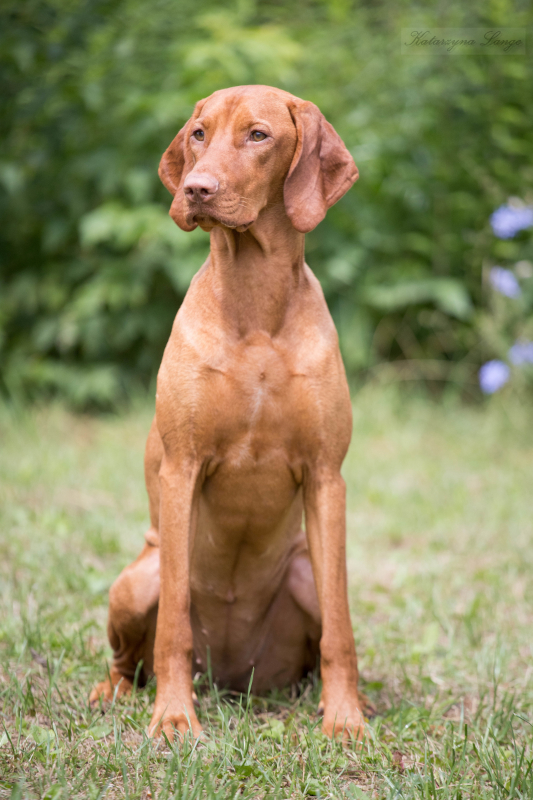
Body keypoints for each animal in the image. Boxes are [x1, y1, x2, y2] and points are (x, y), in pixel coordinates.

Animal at [90, 84, 366, 740]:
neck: (256, 305)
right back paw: (115, 692)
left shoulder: (327, 476)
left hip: (302, 573)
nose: (197, 189)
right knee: (128, 657)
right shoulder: (182, 467)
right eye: (198, 134)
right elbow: (174, 624)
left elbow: (341, 630)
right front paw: (172, 718)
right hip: (139, 577)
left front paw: (346, 719)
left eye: (258, 135)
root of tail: (233, 680)